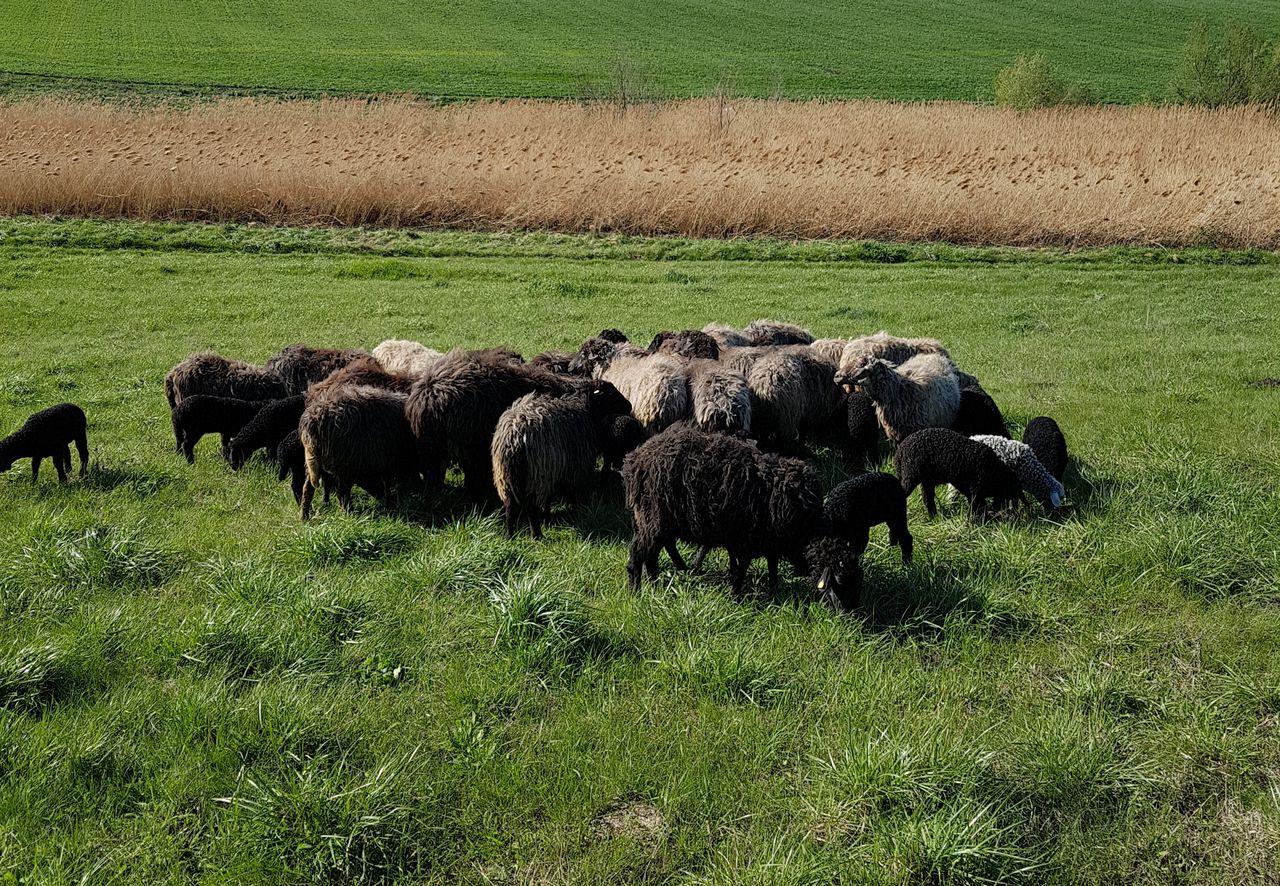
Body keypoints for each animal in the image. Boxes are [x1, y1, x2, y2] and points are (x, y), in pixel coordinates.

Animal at [298, 381, 419, 519]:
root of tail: (313, 420)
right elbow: (387, 481)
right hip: (343, 464)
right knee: (342, 492)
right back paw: (346, 513)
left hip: (315, 463)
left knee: (308, 489)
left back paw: (304, 516)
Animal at [896, 427, 1024, 519]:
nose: (1008, 512)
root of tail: (899, 452)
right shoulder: (976, 488)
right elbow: (977, 506)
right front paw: (977, 522)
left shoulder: (969, 488)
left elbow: (977, 505)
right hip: (910, 475)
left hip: (926, 480)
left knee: (928, 499)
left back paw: (934, 518)